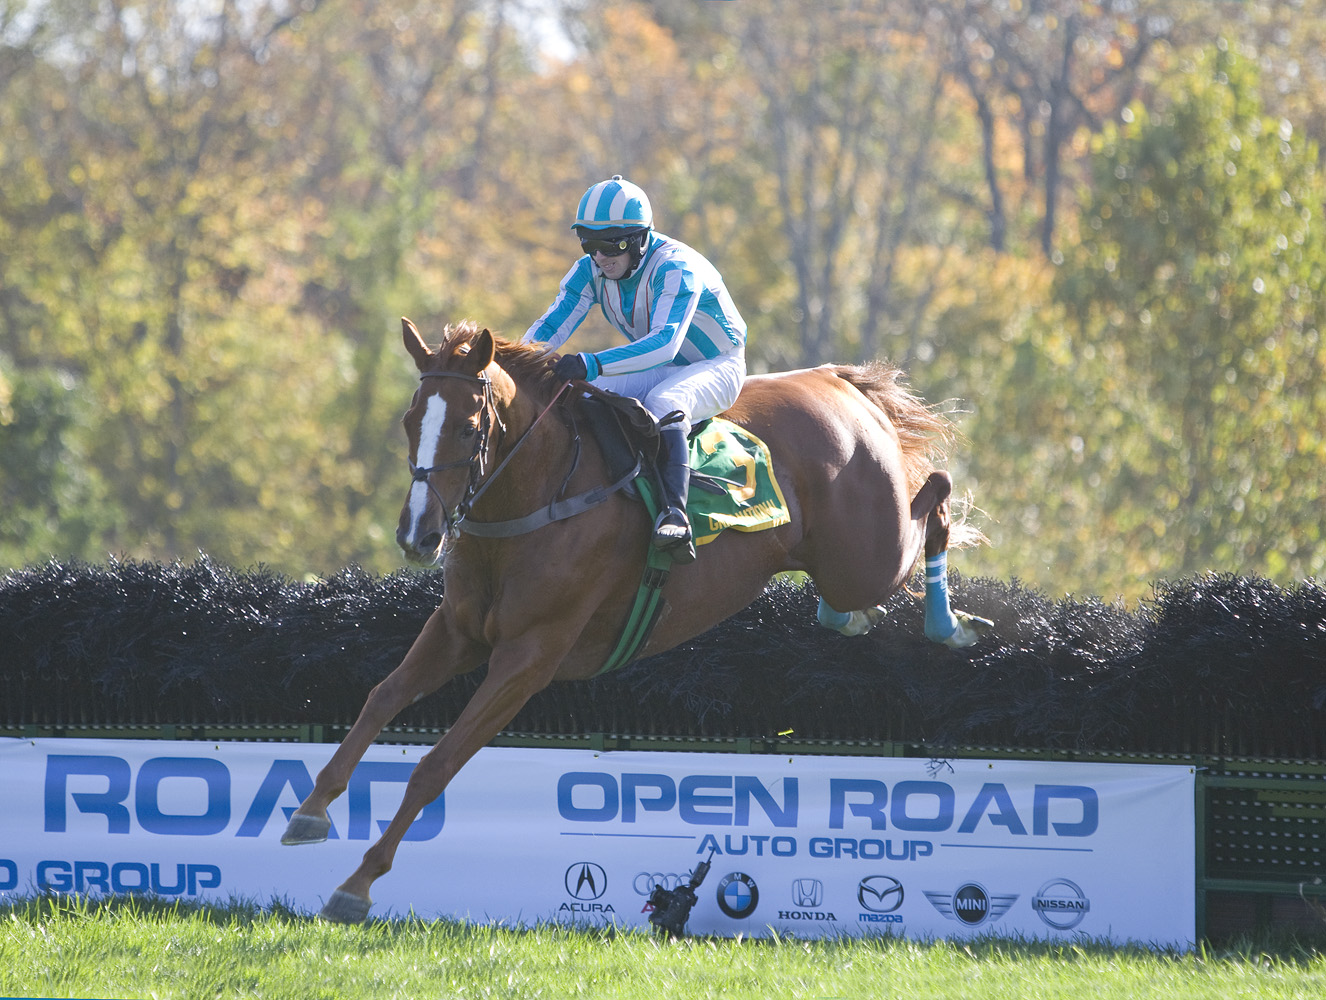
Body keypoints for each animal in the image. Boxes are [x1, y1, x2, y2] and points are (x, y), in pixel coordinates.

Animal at [279, 315, 986, 917]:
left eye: (468, 426)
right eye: (409, 420)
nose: (417, 535)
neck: (538, 495)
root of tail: (838, 382)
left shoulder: (529, 657)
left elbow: (436, 765)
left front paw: (356, 884)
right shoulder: (458, 631)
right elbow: (381, 696)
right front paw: (309, 810)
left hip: (867, 553)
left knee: (937, 495)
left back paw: (952, 626)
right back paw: (854, 619)